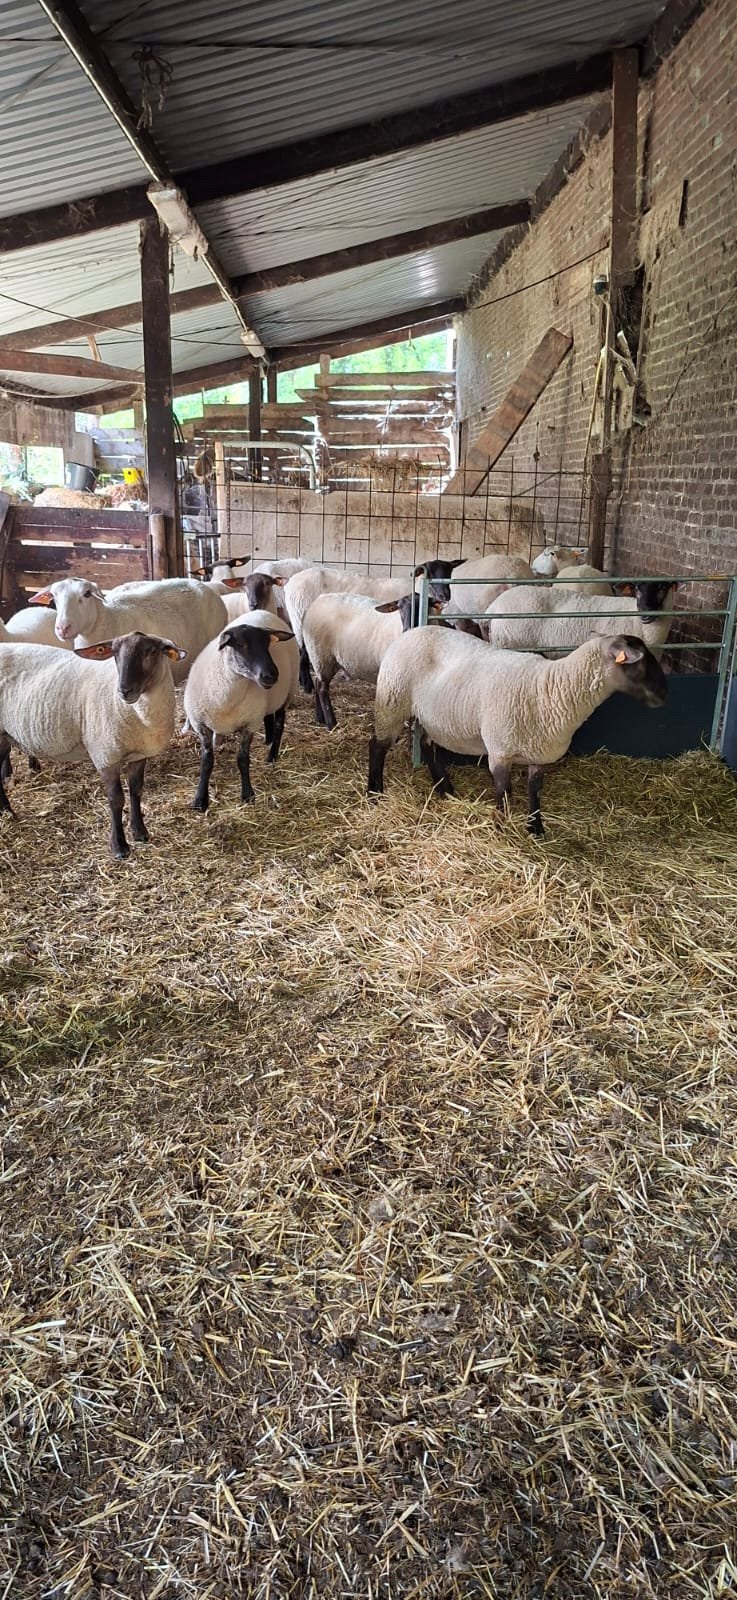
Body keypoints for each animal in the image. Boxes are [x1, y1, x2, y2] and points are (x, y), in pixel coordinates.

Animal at [0, 632, 186, 858]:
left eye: (151, 651)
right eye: (114, 653)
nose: (124, 691)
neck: (139, 713)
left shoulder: (139, 755)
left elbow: (136, 791)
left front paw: (140, 833)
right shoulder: (106, 755)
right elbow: (116, 800)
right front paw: (119, 846)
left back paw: (6, 811)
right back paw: (8, 811)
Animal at [183, 611, 297, 811]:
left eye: (267, 644)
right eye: (241, 645)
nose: (271, 675)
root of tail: (263, 612)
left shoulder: (250, 723)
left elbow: (243, 759)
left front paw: (247, 795)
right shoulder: (201, 725)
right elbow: (206, 762)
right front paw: (200, 800)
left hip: (287, 694)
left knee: (279, 723)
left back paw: (272, 754)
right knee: (269, 716)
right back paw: (268, 739)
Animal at [303, 591, 445, 730]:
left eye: (424, 605)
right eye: (399, 608)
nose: (407, 630)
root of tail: (318, 600)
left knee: (317, 682)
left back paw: (320, 718)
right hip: (321, 655)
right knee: (322, 688)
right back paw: (331, 723)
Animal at [368, 628, 667, 836]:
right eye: (641, 663)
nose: (664, 694)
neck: (553, 688)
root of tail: (410, 632)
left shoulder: (540, 753)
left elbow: (534, 790)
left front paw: (536, 828)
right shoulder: (500, 750)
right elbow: (504, 791)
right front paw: (502, 827)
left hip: (433, 716)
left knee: (428, 744)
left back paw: (445, 789)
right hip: (393, 700)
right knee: (377, 746)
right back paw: (374, 793)